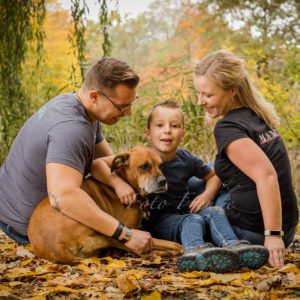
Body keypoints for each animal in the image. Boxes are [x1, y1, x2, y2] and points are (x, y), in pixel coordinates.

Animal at [28, 146, 183, 264]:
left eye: (161, 165)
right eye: (144, 166)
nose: (163, 181)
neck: (125, 181)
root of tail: (55, 246)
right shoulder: (132, 229)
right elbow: (170, 244)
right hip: (105, 231)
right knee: (145, 252)